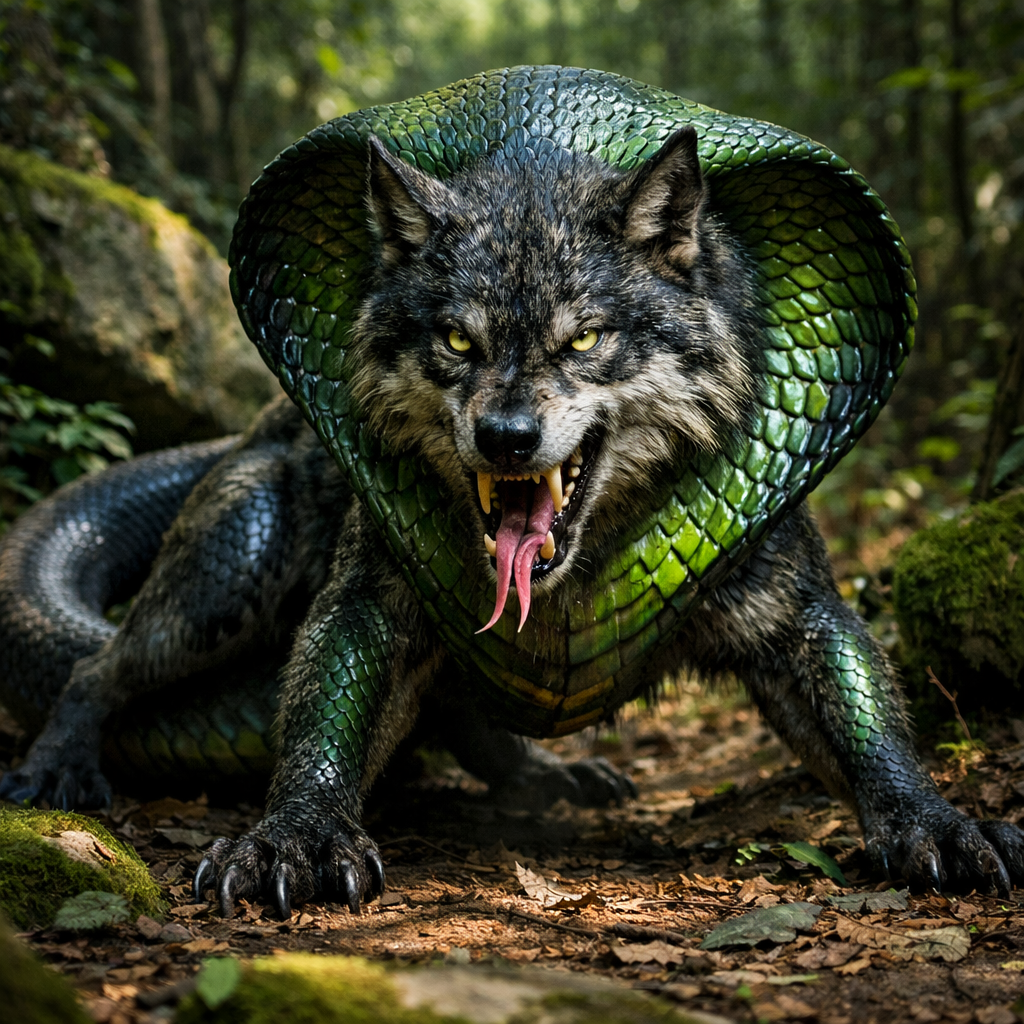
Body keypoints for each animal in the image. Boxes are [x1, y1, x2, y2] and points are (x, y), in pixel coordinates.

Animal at [2, 126, 1023, 919]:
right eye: (459, 340)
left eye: (585, 337)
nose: (505, 438)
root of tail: (257, 425)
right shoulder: (368, 597)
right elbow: (318, 726)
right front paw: (292, 836)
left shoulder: (797, 606)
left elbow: (870, 725)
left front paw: (936, 821)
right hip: (229, 576)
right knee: (101, 667)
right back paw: (56, 771)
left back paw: (547, 777)